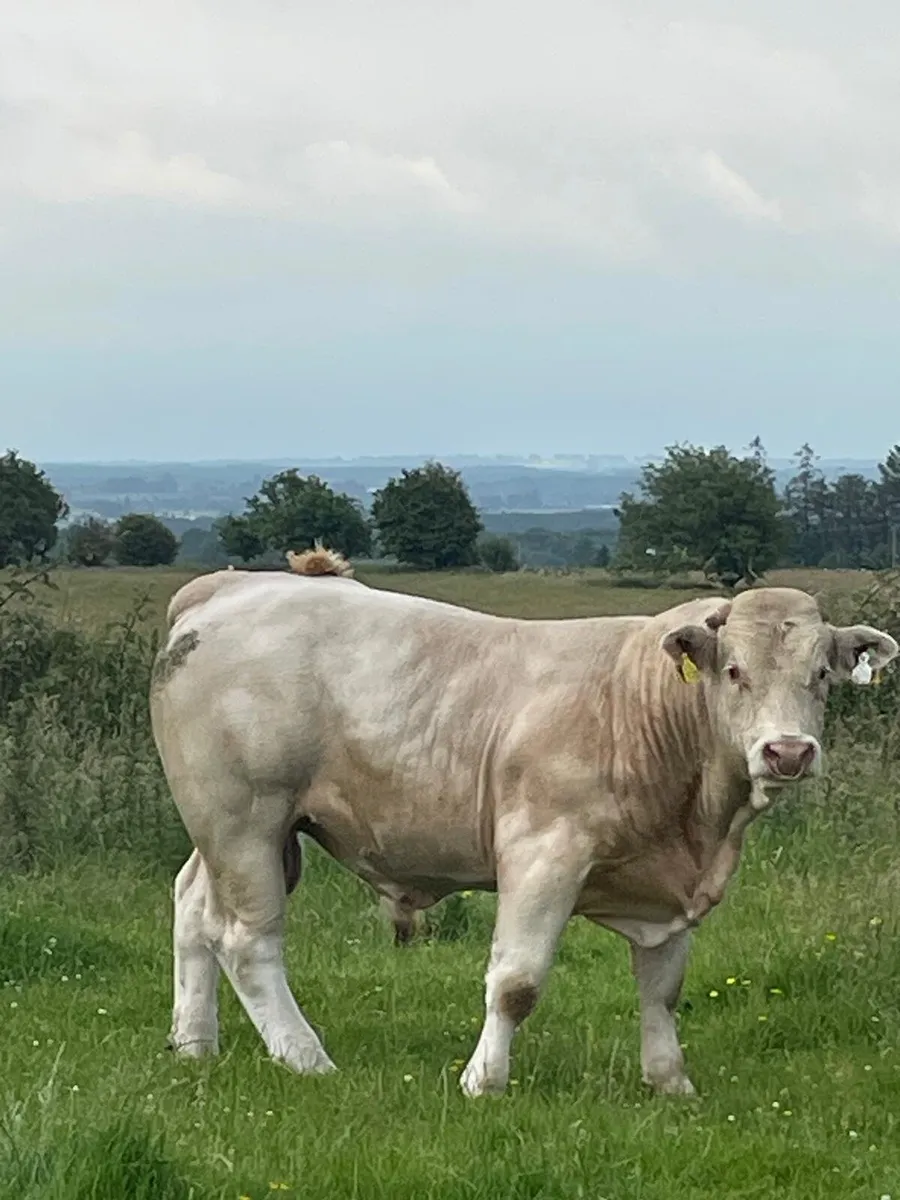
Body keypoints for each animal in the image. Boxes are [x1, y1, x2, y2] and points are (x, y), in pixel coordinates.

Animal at [150, 552, 897, 1099]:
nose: (788, 752)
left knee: (193, 908)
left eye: (822, 674)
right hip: (244, 818)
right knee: (246, 939)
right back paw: (307, 1059)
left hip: (239, 833)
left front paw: (670, 1083)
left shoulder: (664, 886)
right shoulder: (544, 853)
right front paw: (484, 1082)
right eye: (735, 671)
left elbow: (662, 990)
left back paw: (194, 1046)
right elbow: (516, 983)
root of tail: (231, 586)